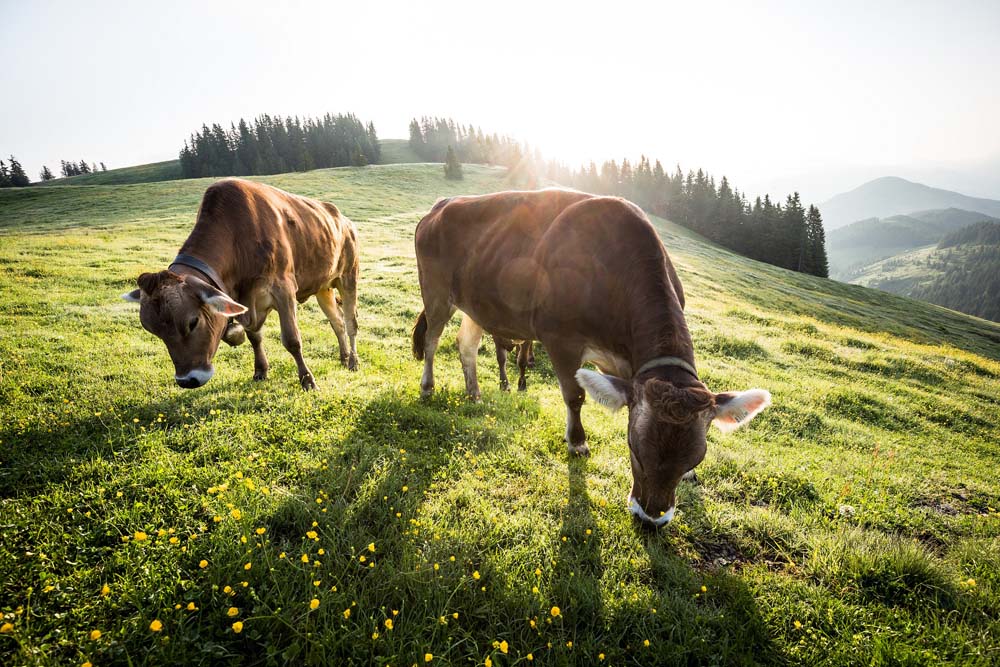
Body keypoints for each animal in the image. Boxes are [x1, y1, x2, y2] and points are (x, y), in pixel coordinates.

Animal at [124, 177, 360, 392]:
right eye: (153, 330)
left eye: (193, 322)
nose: (187, 381)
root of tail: (344, 220)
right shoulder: (243, 300)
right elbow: (254, 337)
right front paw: (260, 371)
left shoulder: (283, 288)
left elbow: (292, 340)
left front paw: (307, 380)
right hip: (323, 287)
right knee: (337, 322)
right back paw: (343, 356)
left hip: (349, 276)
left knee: (350, 323)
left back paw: (353, 362)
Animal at [410, 189, 768, 528]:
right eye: (634, 448)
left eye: (694, 460)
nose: (651, 518)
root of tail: (441, 204)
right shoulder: (560, 338)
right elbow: (575, 396)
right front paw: (578, 442)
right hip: (436, 291)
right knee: (431, 341)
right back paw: (427, 387)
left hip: (477, 304)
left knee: (466, 345)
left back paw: (475, 393)